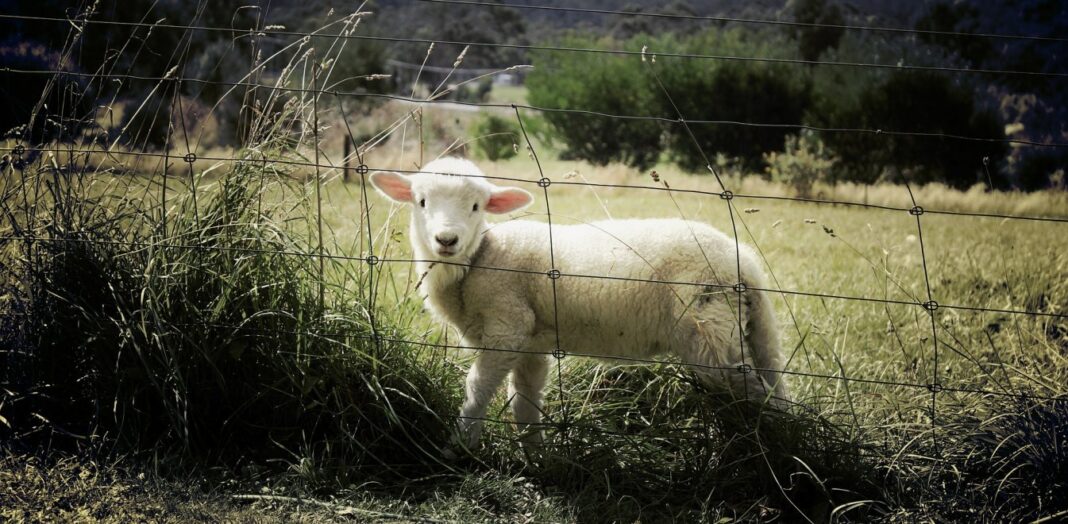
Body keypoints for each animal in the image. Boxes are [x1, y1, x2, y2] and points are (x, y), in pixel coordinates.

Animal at [371, 155, 790, 450]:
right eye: (421, 201)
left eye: (477, 207)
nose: (446, 240)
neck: (480, 259)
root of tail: (743, 262)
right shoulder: (531, 343)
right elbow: (525, 402)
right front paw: (535, 457)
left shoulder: (507, 325)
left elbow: (478, 388)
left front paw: (459, 447)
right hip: (742, 328)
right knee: (771, 382)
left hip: (708, 332)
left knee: (753, 391)